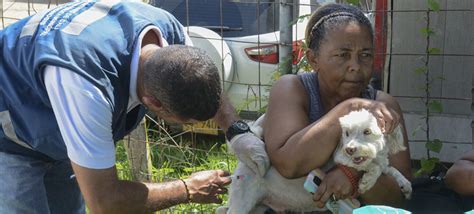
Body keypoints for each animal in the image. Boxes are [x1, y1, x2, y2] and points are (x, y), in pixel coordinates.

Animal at [218, 109, 412, 213]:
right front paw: (368, 180)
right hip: (244, 200)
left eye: (367, 131)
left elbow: (389, 168)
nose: (349, 149)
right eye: (346, 132)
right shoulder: (340, 162)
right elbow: (373, 165)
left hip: (257, 206)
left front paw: (404, 183)